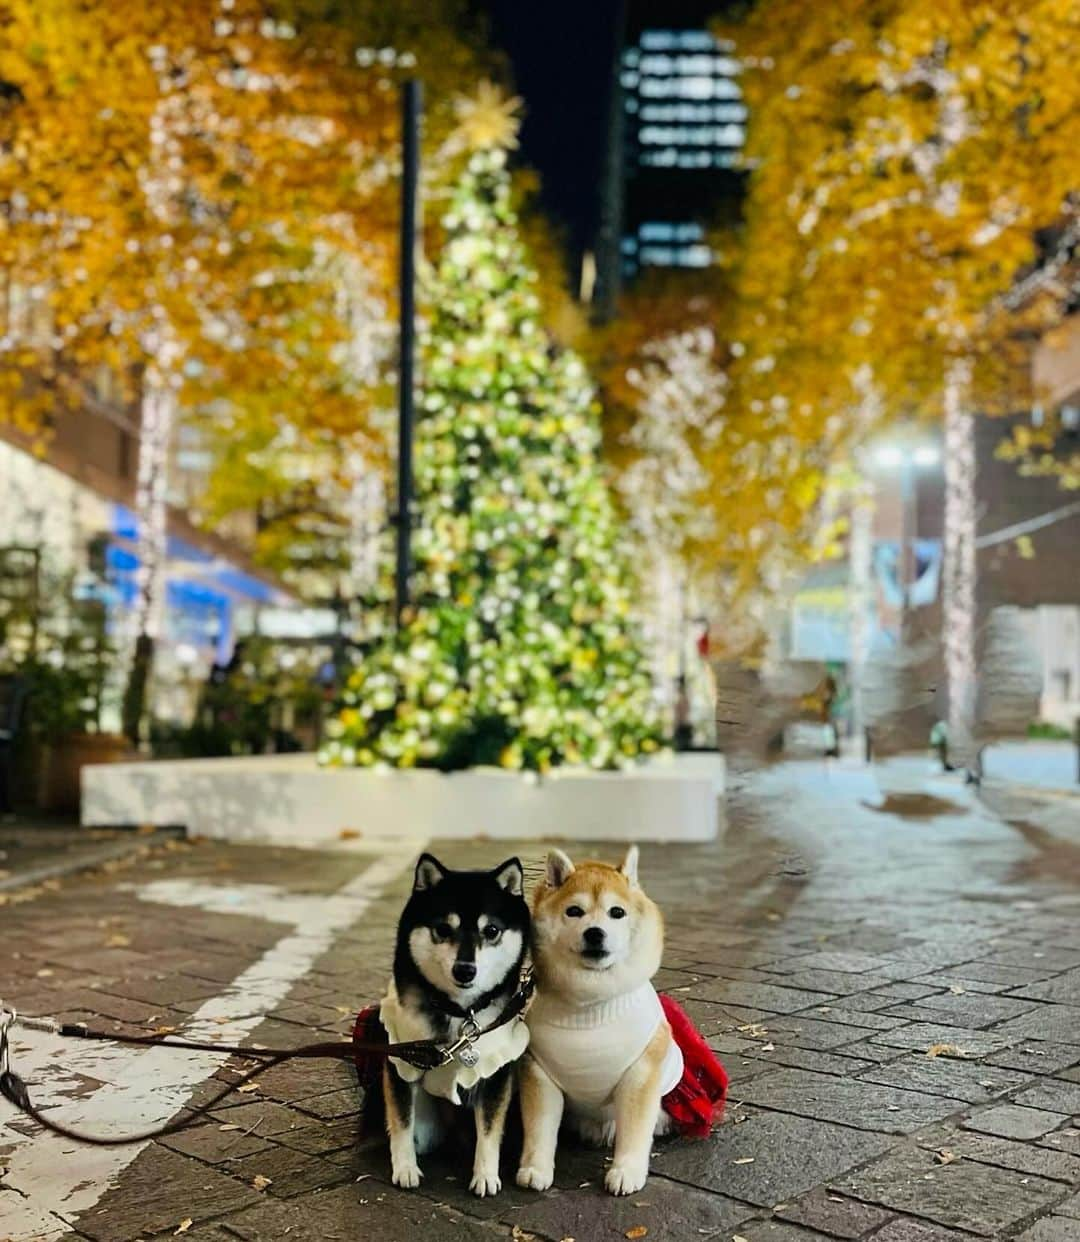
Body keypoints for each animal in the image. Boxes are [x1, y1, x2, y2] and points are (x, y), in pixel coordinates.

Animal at [379, 854, 533, 1192]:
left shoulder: (496, 1073)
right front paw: (405, 1167)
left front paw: (485, 1175)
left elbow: (489, 1130)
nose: (465, 970)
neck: (460, 1013)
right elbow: (402, 1123)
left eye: (491, 930)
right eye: (442, 929)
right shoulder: (401, 1059)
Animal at [518, 844, 685, 1192]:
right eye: (574, 911)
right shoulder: (539, 1074)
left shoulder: (640, 1075)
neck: (590, 1004)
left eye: (616, 913)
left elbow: (635, 1131)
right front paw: (536, 1168)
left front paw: (626, 1171)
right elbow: (539, 1129)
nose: (595, 933)